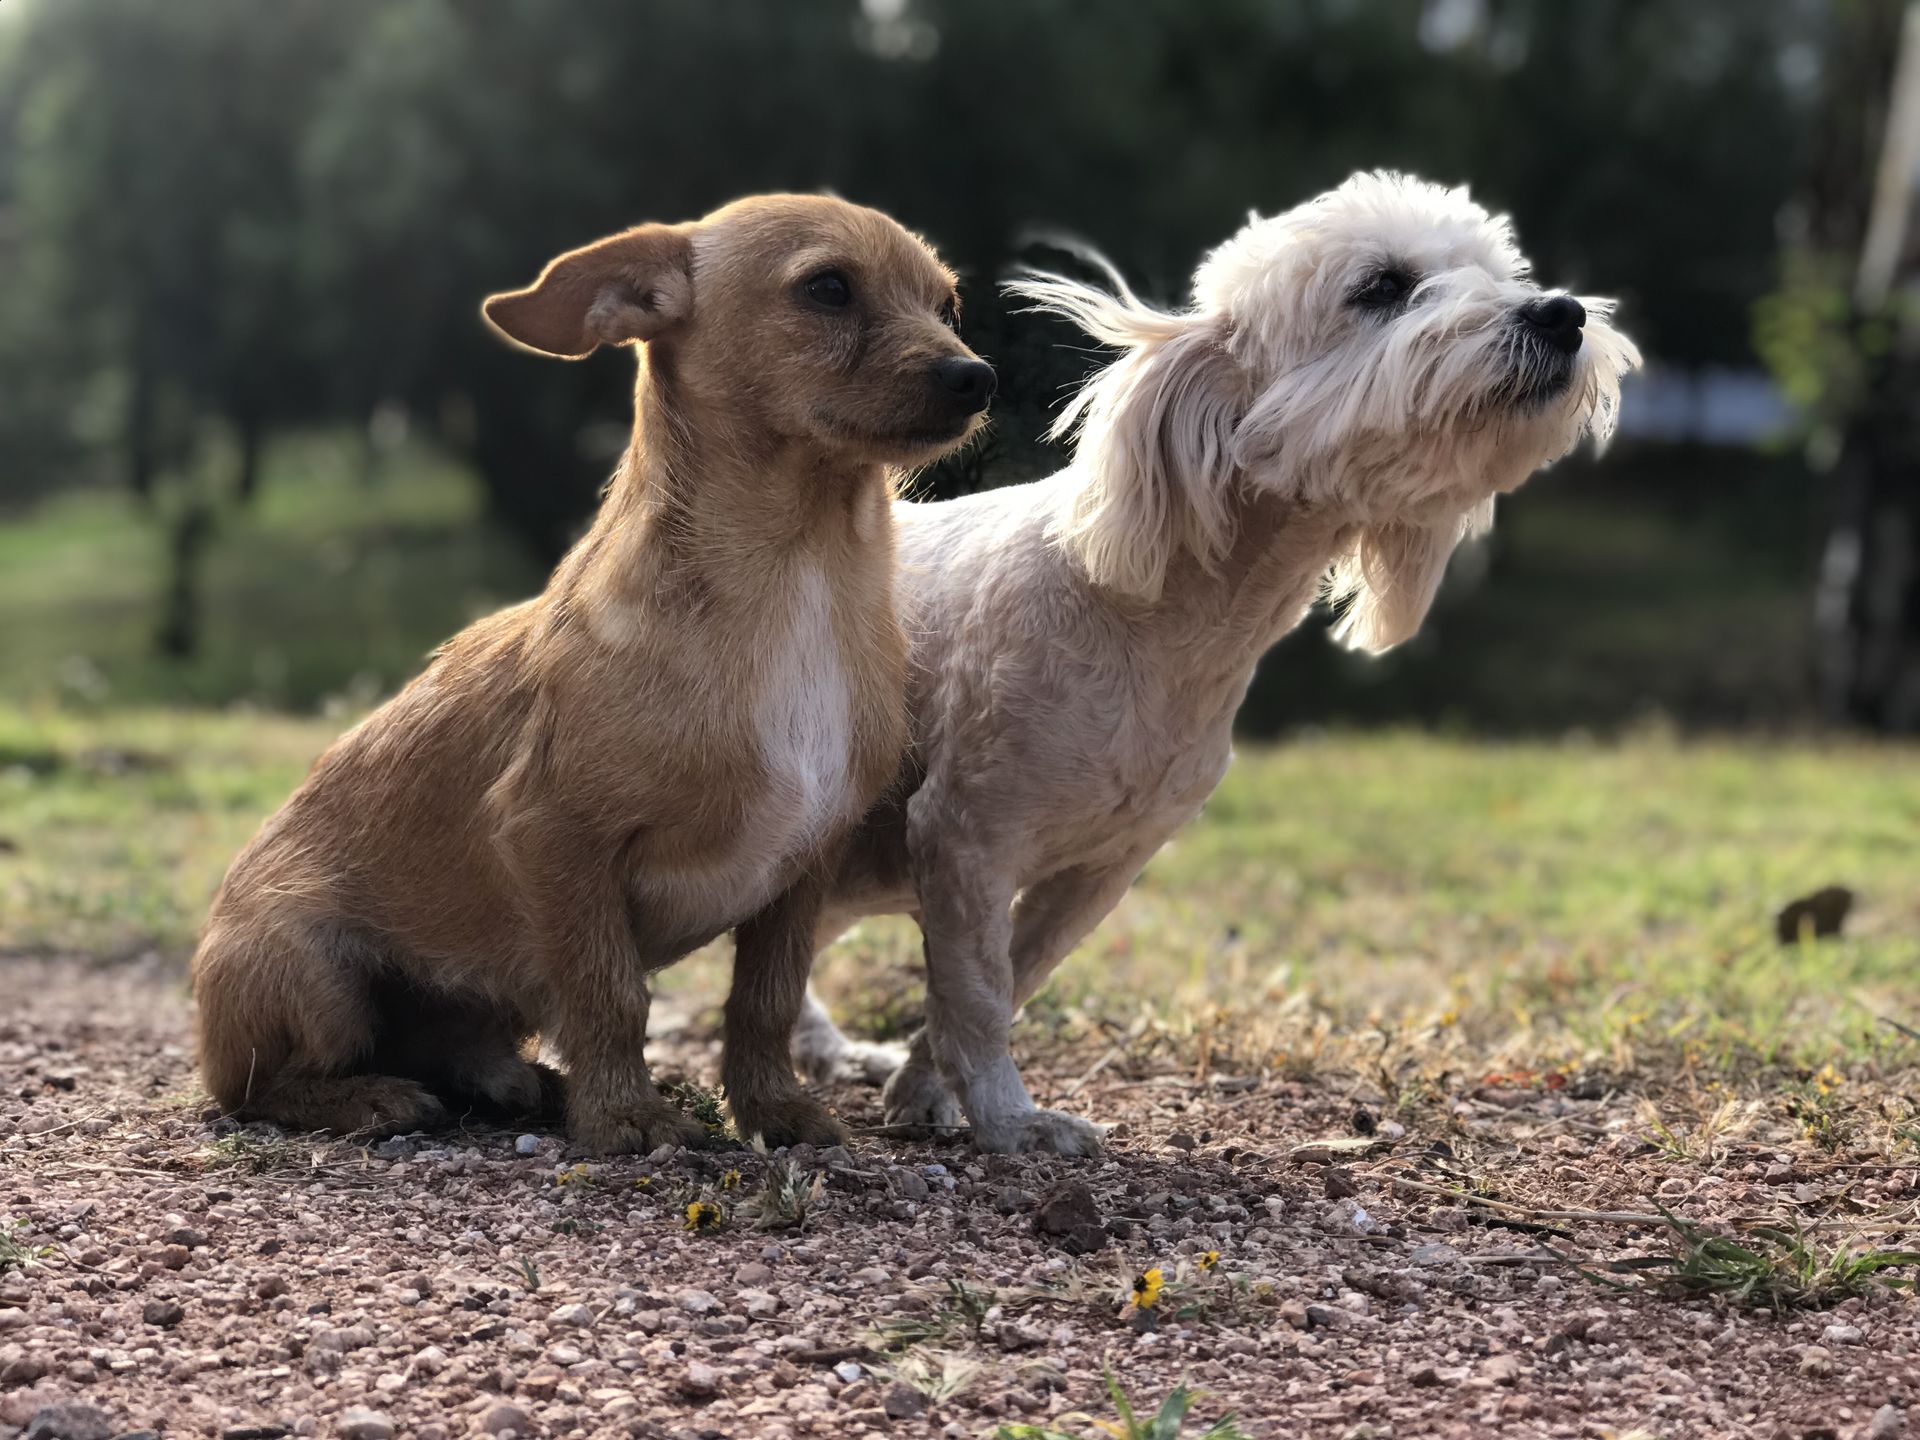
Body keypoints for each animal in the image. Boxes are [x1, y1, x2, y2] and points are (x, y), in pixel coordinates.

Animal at [192, 197, 998, 1159]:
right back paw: (370, 1099)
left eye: (948, 305)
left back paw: (509, 1080)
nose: (978, 377)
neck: (802, 577)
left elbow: (763, 1002)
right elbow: (612, 994)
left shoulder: (805, 865)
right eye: (828, 289)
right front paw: (624, 1118)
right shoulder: (557, 840)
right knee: (254, 1087)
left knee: (443, 1047)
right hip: (310, 973)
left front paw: (773, 1110)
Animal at [787, 174, 1643, 1159]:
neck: (1166, 626)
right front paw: (1012, 1120)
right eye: (1383, 287)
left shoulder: (1105, 866)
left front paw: (926, 1091)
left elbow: (1007, 978)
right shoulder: (964, 832)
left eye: (1502, 272)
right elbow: (978, 992)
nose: (1561, 313)